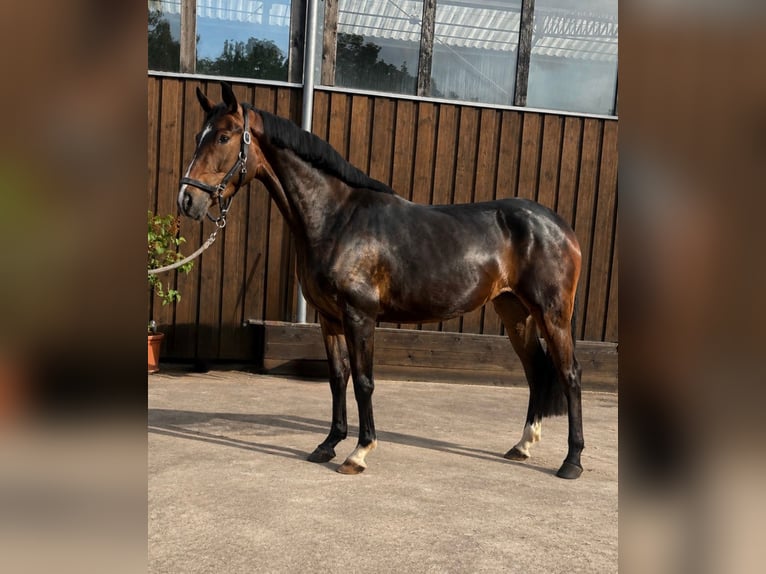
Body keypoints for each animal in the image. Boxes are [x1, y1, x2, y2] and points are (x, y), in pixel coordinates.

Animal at [178, 81, 584, 479]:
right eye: (198, 135)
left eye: (224, 137)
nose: (187, 199)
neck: (337, 219)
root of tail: (560, 228)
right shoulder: (329, 319)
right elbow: (337, 378)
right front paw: (328, 444)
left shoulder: (360, 315)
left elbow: (363, 381)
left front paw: (358, 452)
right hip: (515, 312)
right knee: (536, 371)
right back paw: (522, 446)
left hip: (552, 314)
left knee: (569, 374)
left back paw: (572, 461)